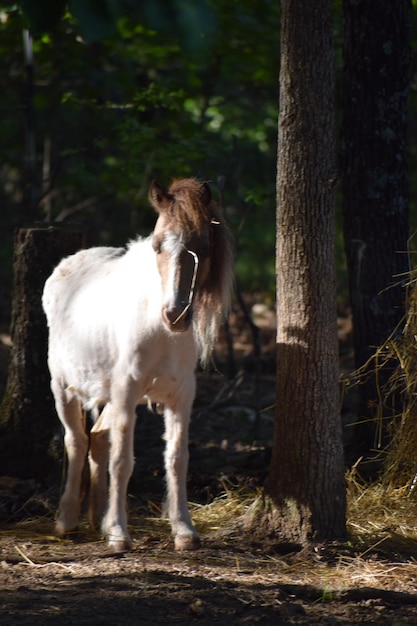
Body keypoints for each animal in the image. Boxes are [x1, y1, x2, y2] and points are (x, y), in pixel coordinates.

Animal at [44, 177, 236, 552]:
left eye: (203, 246)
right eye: (158, 246)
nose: (175, 314)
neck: (159, 330)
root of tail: (66, 266)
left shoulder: (180, 397)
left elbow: (176, 459)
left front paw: (184, 530)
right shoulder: (127, 391)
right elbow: (122, 461)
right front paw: (119, 533)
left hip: (110, 395)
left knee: (97, 438)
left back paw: (96, 519)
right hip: (63, 388)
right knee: (76, 441)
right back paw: (67, 521)